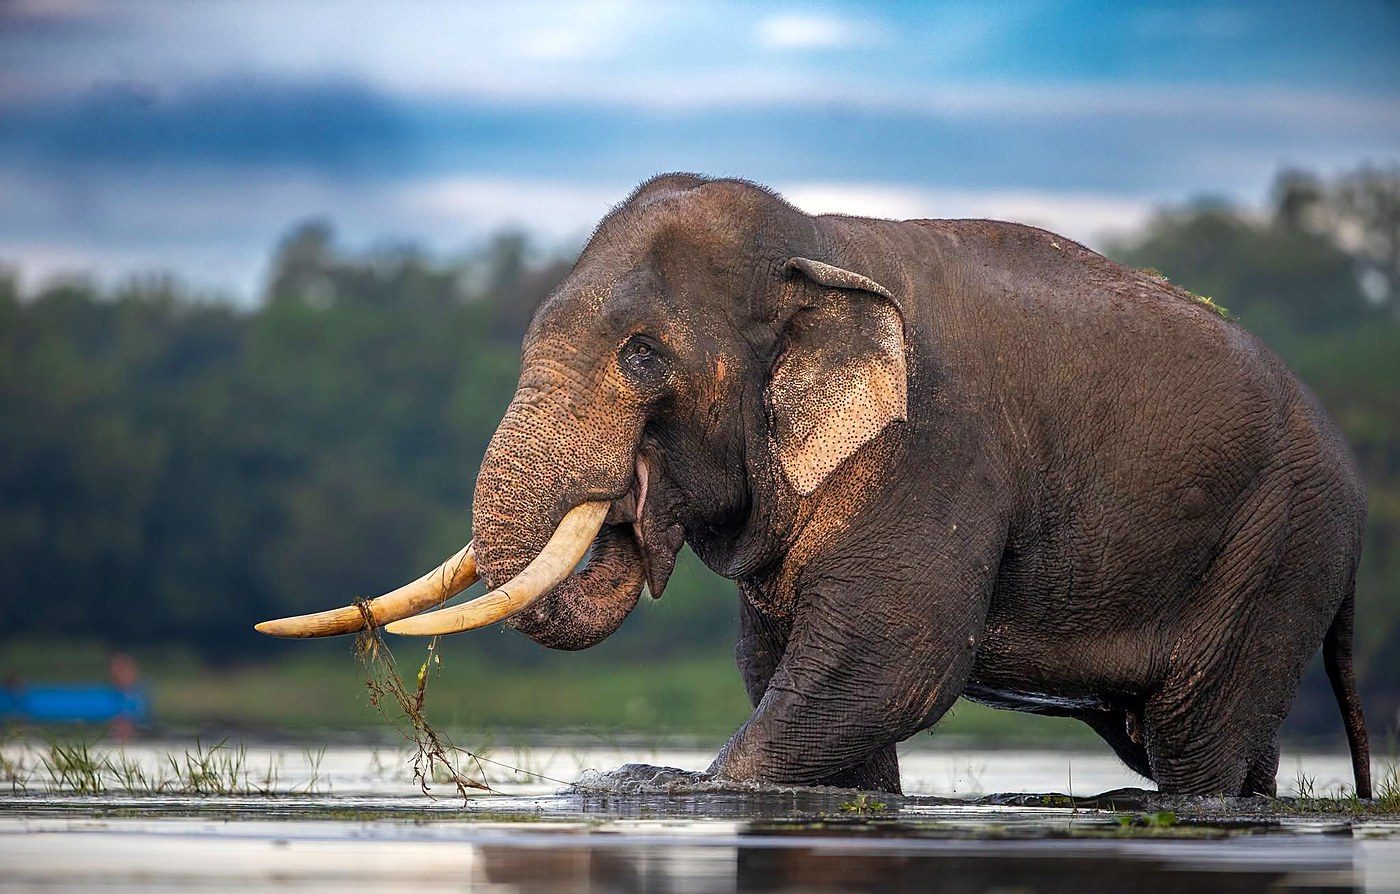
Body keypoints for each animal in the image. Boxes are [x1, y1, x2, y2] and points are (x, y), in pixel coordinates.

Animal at [259, 173, 1371, 798]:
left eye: (643, 358)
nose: (626, 509)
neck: (820, 246)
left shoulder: (933, 451)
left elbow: (888, 665)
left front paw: (645, 787)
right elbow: (788, 675)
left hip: (1277, 547)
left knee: (1193, 739)